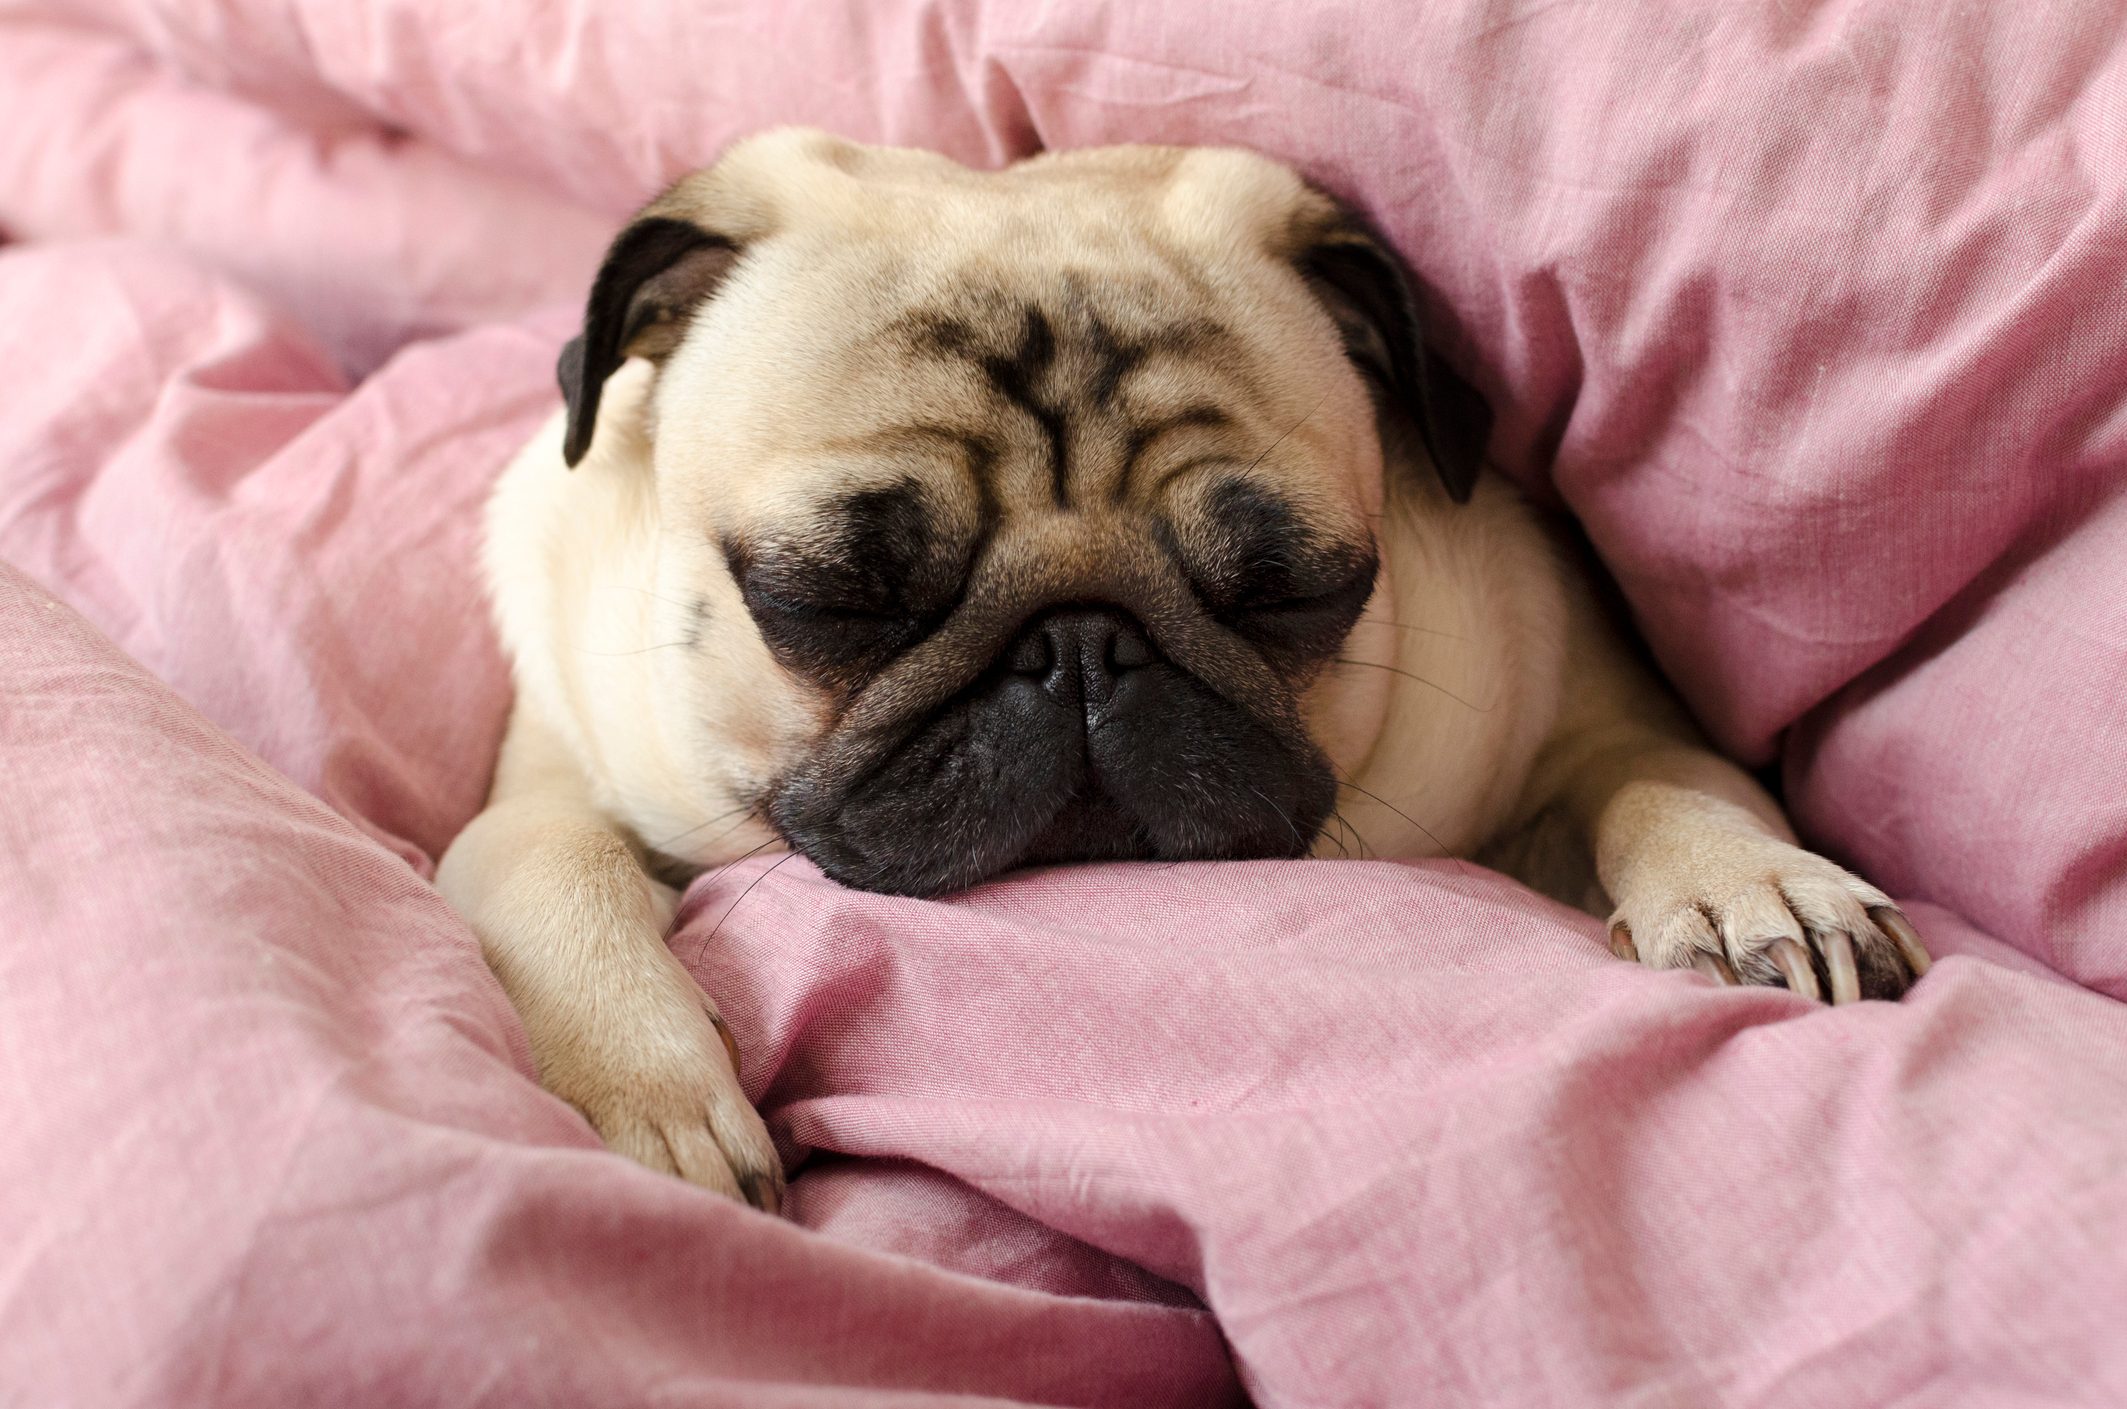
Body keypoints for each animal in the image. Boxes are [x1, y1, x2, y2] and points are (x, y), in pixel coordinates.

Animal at [431, 132, 1931, 1208]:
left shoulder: (1595, 721)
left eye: (1291, 590)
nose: (1078, 646)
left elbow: (1656, 780)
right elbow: (552, 867)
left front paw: (1749, 884)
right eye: (834, 595)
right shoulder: (543, 794)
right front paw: (654, 1097)